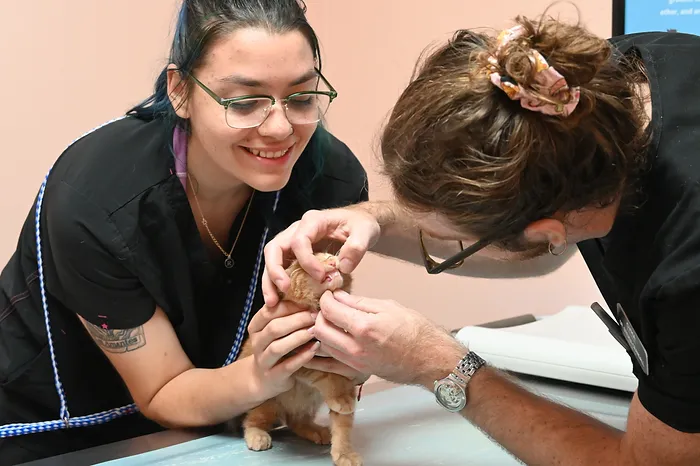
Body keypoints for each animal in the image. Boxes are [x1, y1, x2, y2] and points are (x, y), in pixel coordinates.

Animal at [238, 253, 364, 466]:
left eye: (328, 256)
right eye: (305, 267)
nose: (332, 262)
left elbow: (343, 423)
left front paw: (345, 452)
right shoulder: (293, 359)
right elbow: (326, 376)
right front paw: (340, 396)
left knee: (297, 421)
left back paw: (316, 430)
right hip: (268, 403)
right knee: (252, 420)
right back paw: (257, 435)